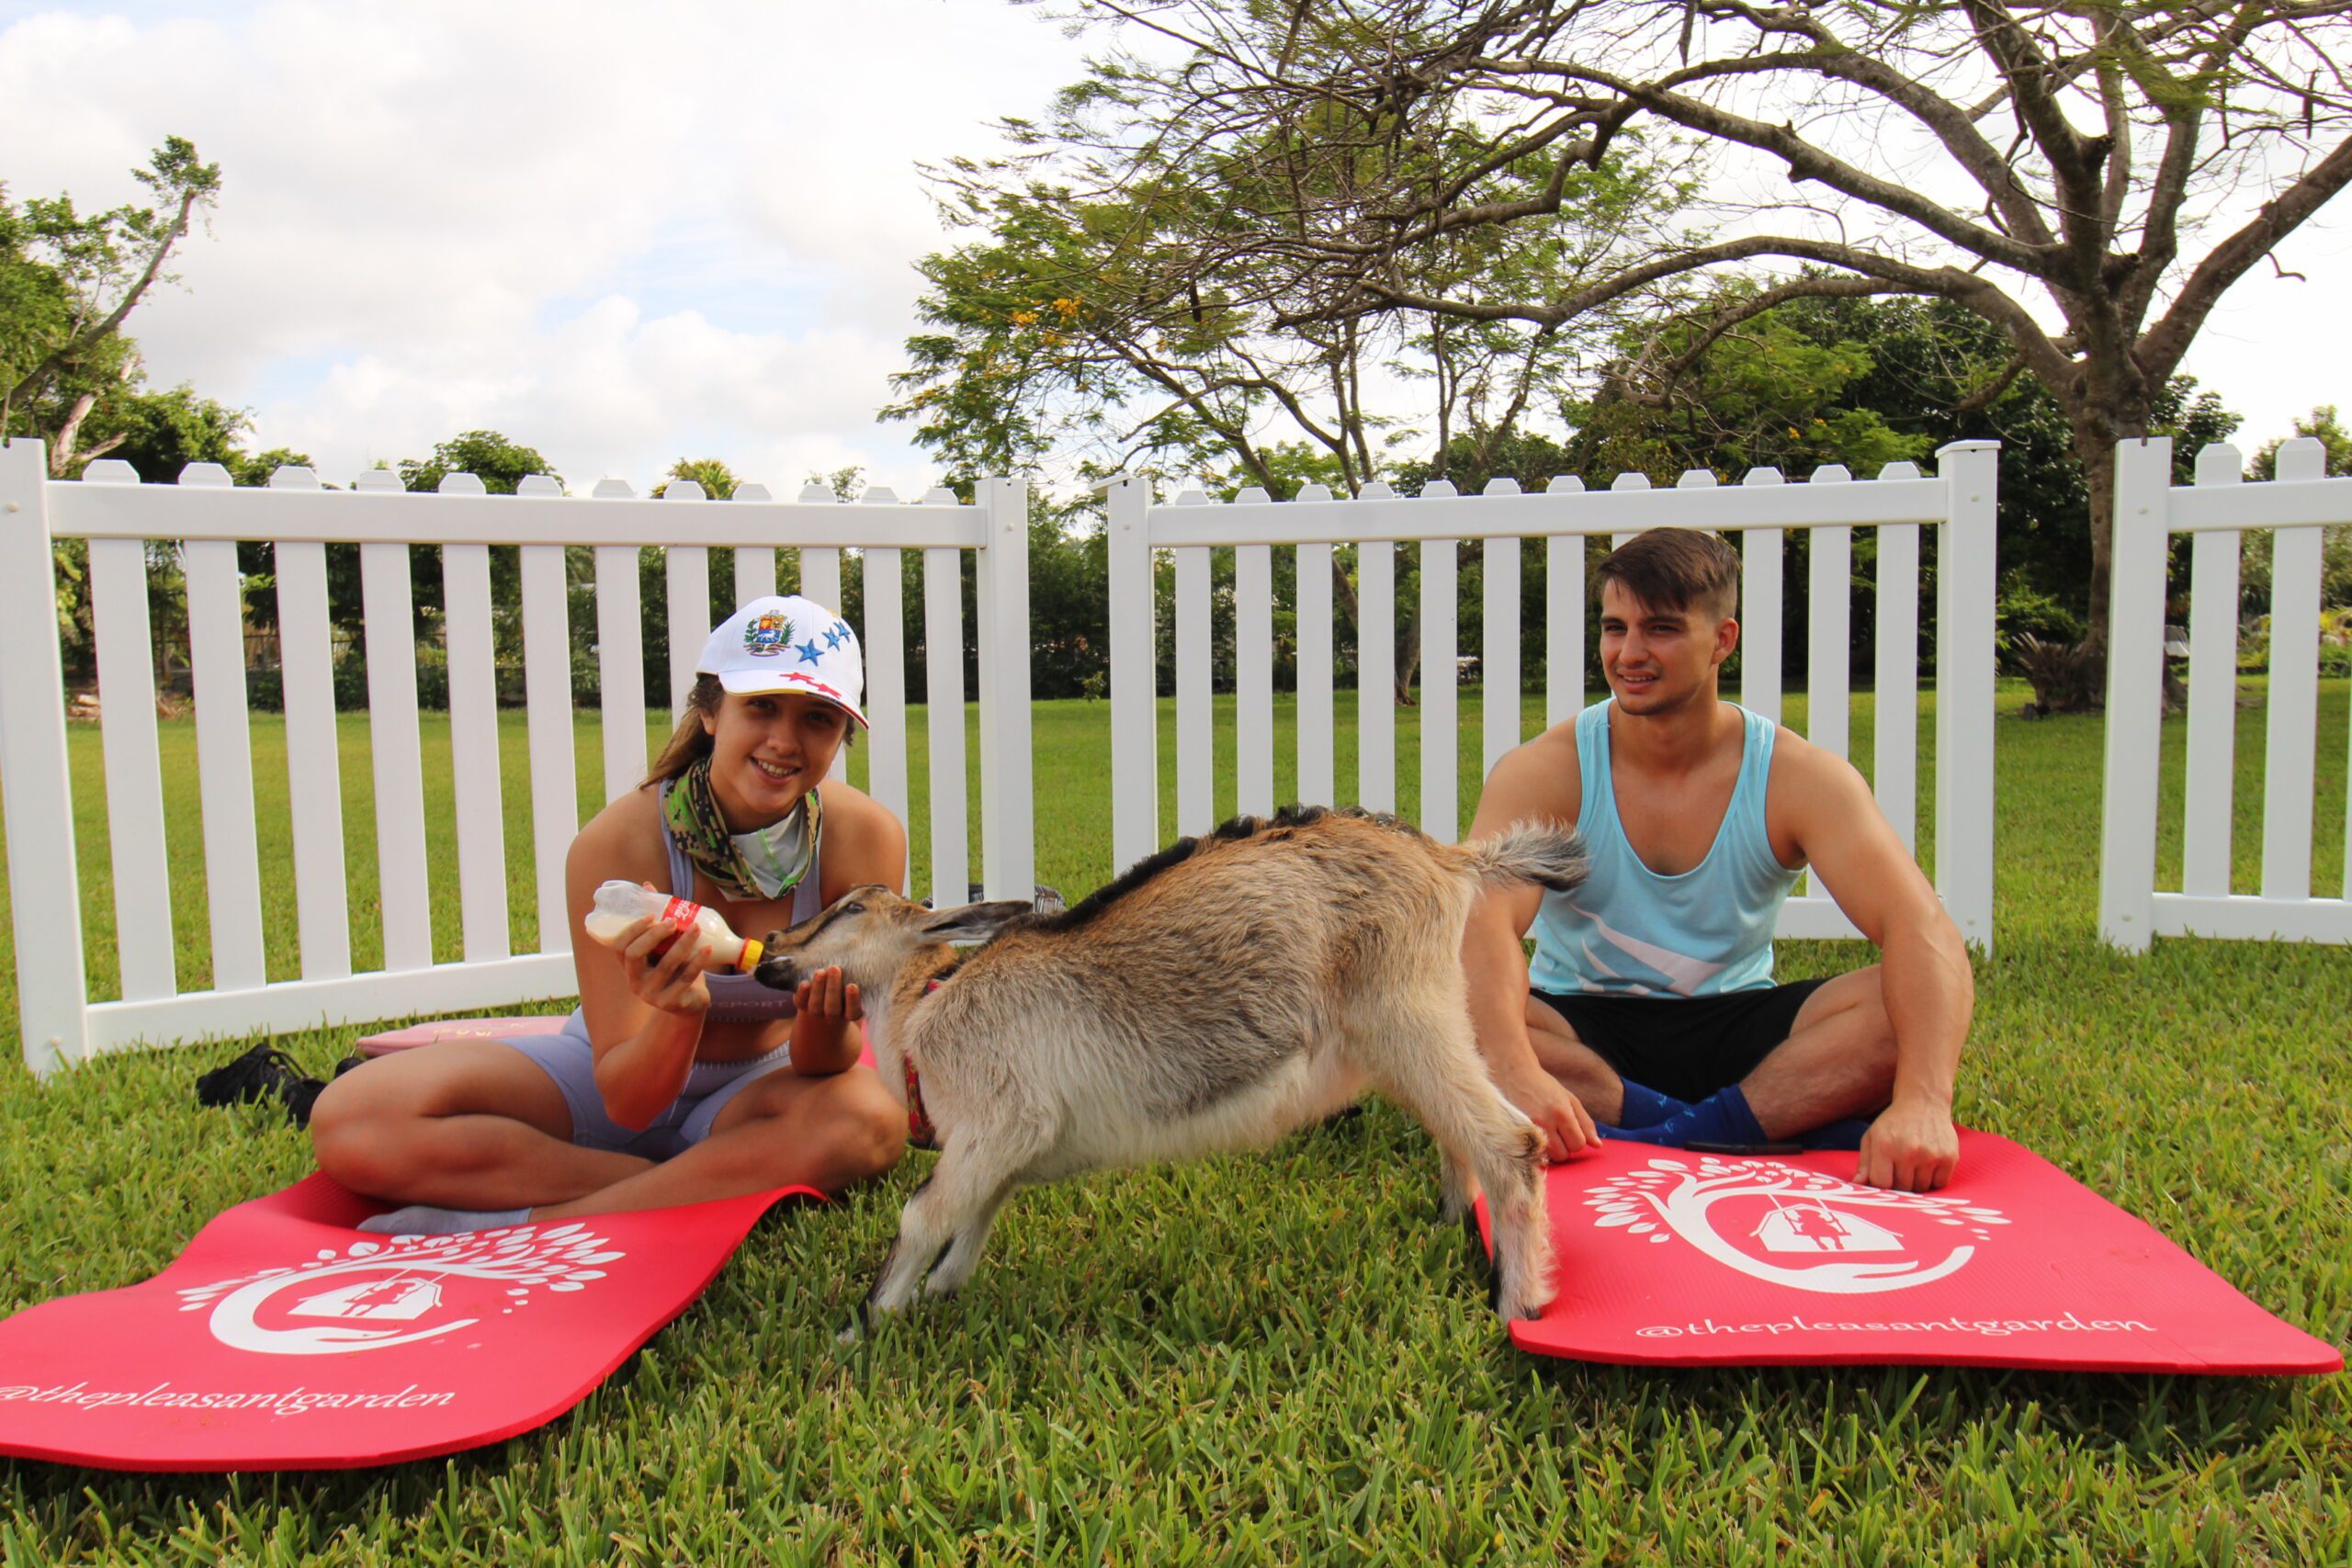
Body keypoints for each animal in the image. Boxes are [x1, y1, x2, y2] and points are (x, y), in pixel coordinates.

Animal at [762, 804, 1589, 1335]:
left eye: (847, 910)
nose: (772, 952)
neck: (926, 1002)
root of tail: (1451, 860)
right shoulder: (1004, 1150)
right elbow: (976, 1213)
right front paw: (939, 1292)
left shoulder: (1003, 1118)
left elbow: (924, 1213)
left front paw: (867, 1325)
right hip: (1419, 1029)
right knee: (1461, 1135)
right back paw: (1448, 1227)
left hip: (1406, 1017)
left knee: (1513, 1143)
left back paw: (1518, 1307)